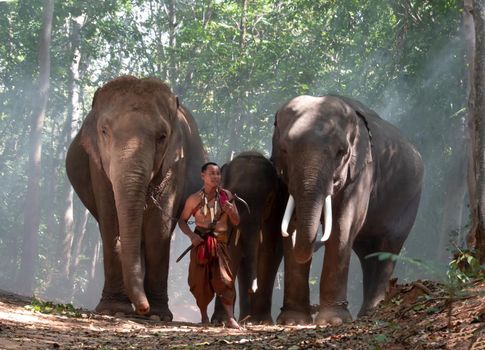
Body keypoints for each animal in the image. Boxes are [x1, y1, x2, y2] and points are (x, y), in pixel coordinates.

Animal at [65, 76, 205, 320]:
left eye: (162, 136)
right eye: (104, 131)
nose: (142, 308)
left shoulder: (175, 163)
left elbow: (157, 230)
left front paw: (156, 315)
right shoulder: (97, 165)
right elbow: (110, 222)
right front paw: (114, 310)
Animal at [210, 152, 286, 324]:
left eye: (269, 200)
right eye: (231, 196)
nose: (253, 289)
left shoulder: (277, 211)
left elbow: (270, 252)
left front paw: (262, 321)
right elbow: (230, 250)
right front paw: (221, 321)